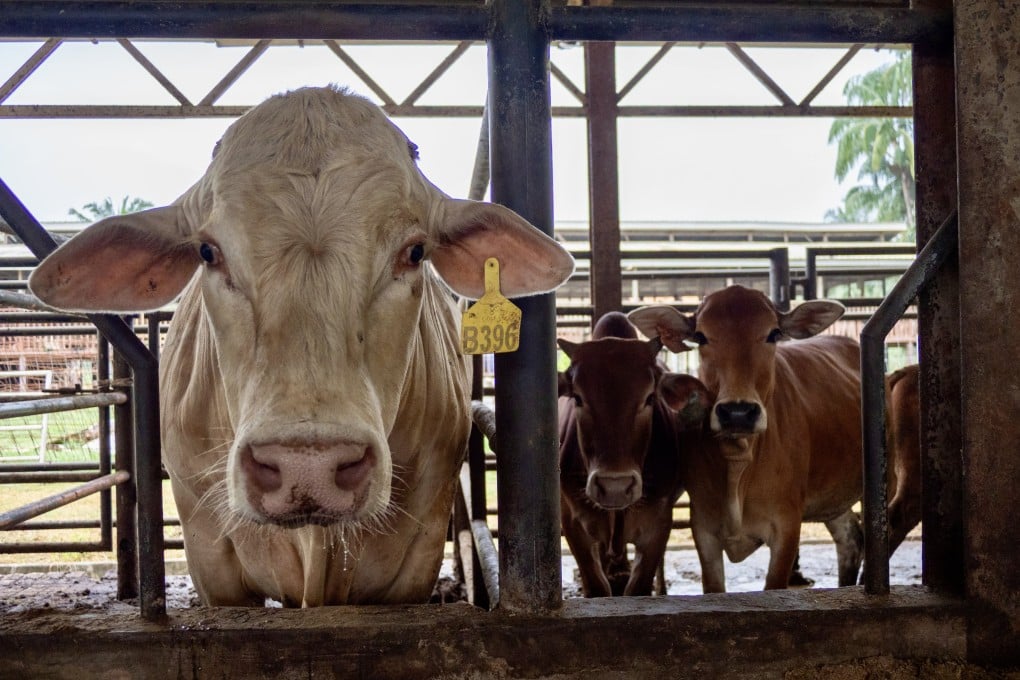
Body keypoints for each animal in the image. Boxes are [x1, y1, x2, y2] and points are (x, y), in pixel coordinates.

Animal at [556, 312, 685, 597]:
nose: (614, 486)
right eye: (577, 398)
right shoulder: (573, 523)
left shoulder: (658, 524)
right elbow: (596, 586)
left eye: (649, 398)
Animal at [629, 285, 866, 592]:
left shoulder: (786, 527)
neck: (738, 464)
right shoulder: (704, 529)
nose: (738, 412)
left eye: (774, 333)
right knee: (850, 538)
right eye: (701, 336)